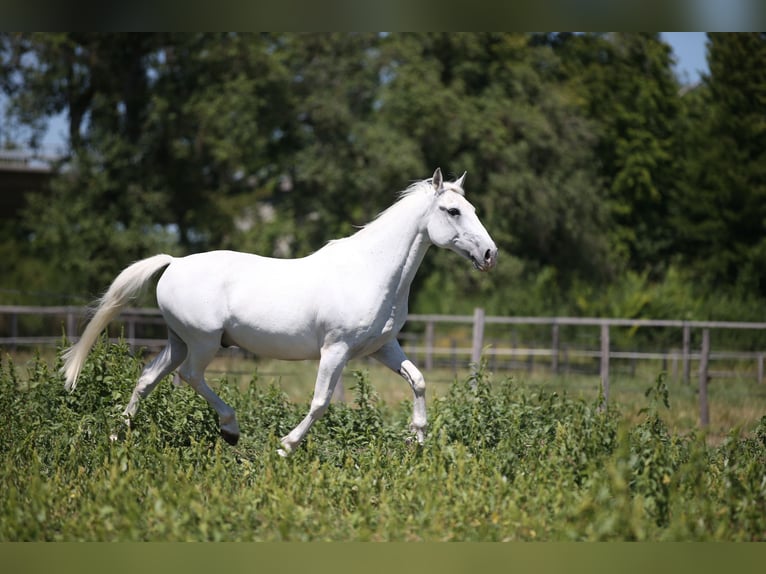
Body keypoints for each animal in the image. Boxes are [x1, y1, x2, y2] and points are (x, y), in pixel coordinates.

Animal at [63, 169, 500, 456]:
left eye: (474, 208)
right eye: (453, 211)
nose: (489, 254)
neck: (371, 270)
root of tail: (173, 263)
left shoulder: (382, 347)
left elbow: (419, 381)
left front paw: (417, 440)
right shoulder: (336, 349)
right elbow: (321, 402)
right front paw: (286, 446)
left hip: (179, 341)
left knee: (148, 378)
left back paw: (119, 434)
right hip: (203, 342)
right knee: (190, 377)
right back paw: (231, 430)